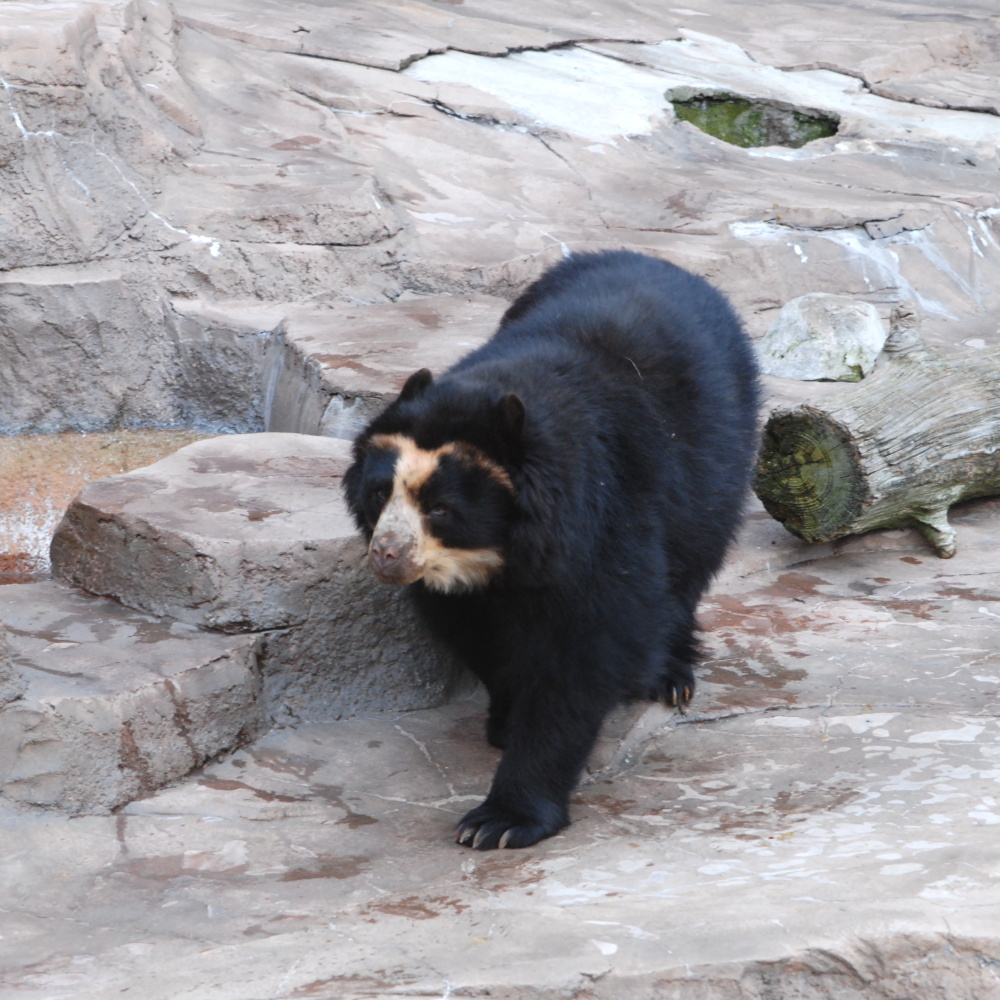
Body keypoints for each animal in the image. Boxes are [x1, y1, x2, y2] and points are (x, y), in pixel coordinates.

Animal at [344, 250, 756, 852]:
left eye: (440, 508)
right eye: (379, 493)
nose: (388, 556)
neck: (502, 551)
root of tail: (651, 259)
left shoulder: (600, 514)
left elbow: (586, 649)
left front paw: (499, 821)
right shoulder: (461, 587)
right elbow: (477, 632)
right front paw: (504, 719)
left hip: (717, 458)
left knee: (691, 561)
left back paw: (670, 676)